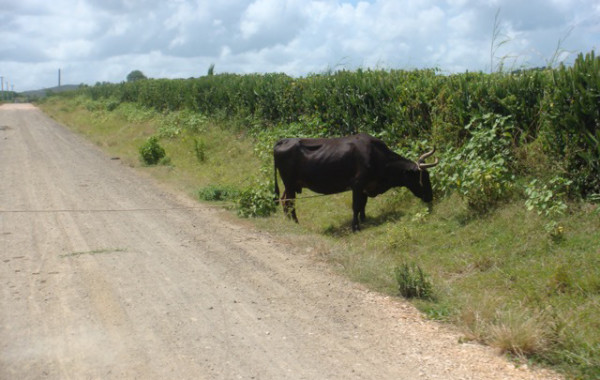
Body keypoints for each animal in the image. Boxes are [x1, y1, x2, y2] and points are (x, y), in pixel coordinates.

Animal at [274, 132, 438, 230]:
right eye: (422, 177)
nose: (430, 197)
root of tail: (283, 140)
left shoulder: (366, 186)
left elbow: (363, 205)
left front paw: (364, 220)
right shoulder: (357, 184)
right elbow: (356, 206)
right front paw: (355, 226)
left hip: (291, 185)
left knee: (284, 200)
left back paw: (288, 221)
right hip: (290, 183)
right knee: (290, 202)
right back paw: (295, 222)